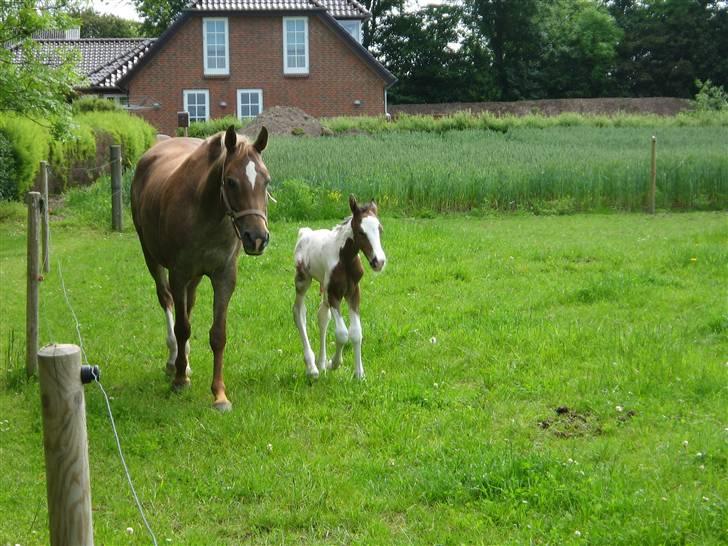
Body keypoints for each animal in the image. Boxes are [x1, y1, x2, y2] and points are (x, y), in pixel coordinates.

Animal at [132, 126, 270, 408]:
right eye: (231, 181)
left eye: (267, 181)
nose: (257, 238)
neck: (207, 213)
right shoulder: (179, 273)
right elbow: (182, 327)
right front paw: (179, 381)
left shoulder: (224, 277)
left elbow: (218, 335)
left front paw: (219, 394)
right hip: (152, 258)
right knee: (167, 302)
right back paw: (174, 362)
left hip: (194, 278)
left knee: (189, 304)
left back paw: (184, 361)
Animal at [294, 196, 390, 378]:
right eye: (361, 232)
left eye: (380, 230)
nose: (378, 262)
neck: (344, 260)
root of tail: (305, 232)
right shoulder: (334, 294)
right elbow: (342, 333)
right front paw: (334, 363)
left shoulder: (353, 292)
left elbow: (356, 332)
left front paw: (359, 374)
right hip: (303, 281)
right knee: (299, 313)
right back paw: (312, 367)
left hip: (323, 288)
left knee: (322, 316)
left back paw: (321, 363)